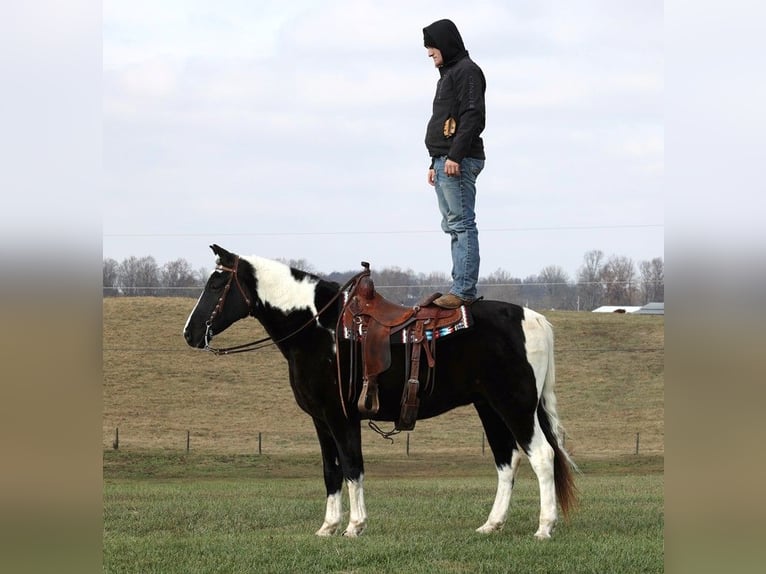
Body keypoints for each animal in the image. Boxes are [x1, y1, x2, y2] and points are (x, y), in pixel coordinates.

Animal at [183, 246, 576, 540]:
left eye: (216, 284)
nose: (190, 333)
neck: (320, 329)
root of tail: (534, 319)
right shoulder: (320, 421)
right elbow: (331, 470)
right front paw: (328, 526)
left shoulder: (341, 417)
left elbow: (352, 467)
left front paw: (354, 526)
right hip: (489, 407)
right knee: (507, 460)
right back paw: (491, 524)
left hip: (515, 406)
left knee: (542, 456)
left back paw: (544, 527)